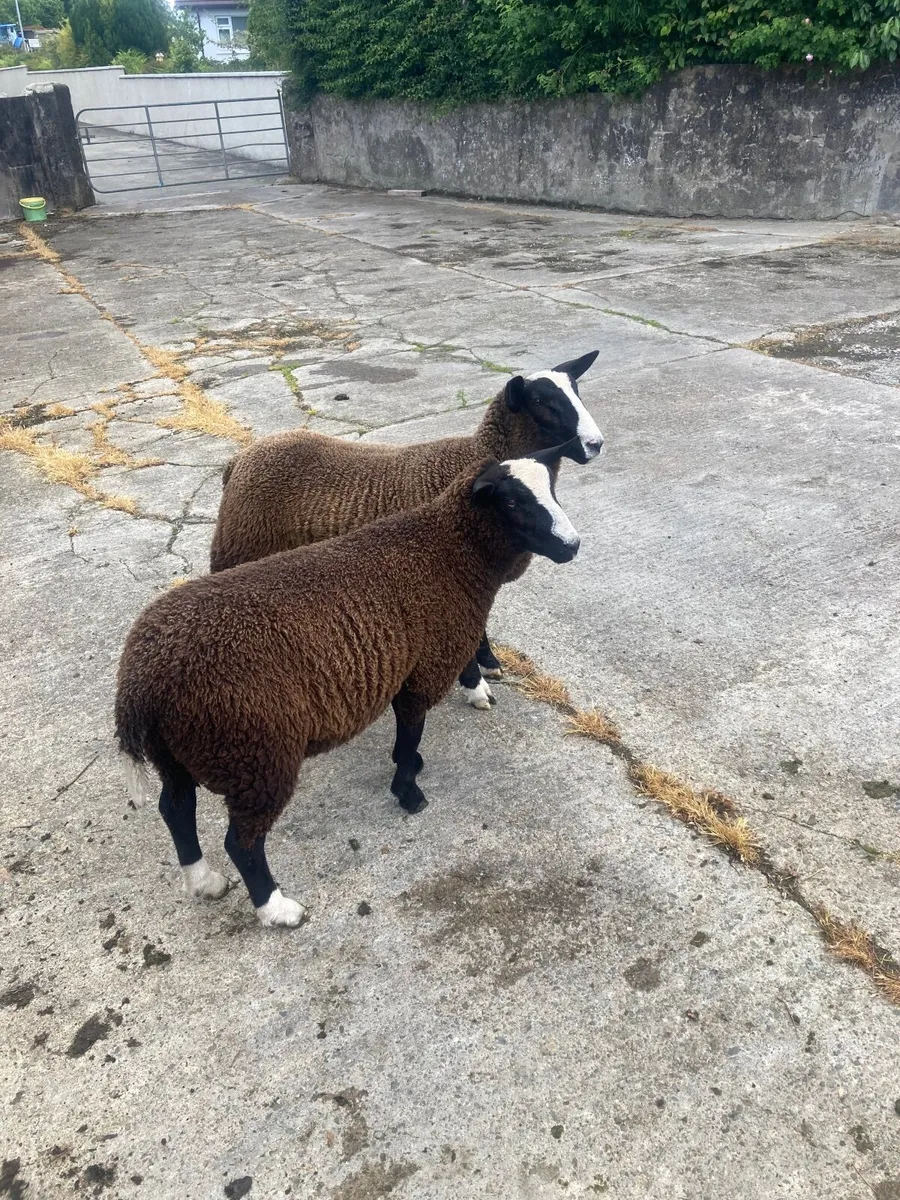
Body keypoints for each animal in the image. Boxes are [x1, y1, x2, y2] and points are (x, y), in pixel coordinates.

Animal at [116, 446, 581, 927]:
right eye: (511, 502)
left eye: (552, 490)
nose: (572, 545)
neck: (447, 552)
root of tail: (139, 683)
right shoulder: (423, 667)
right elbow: (411, 728)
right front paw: (409, 792)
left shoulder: (404, 667)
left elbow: (407, 733)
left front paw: (410, 766)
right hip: (253, 751)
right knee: (241, 842)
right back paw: (276, 908)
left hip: (179, 750)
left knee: (176, 811)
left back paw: (205, 882)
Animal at [208, 351, 603, 711]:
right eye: (540, 401)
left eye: (577, 390)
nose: (595, 444)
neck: (474, 459)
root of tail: (238, 460)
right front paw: (475, 686)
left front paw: (489, 663)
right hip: (237, 548)